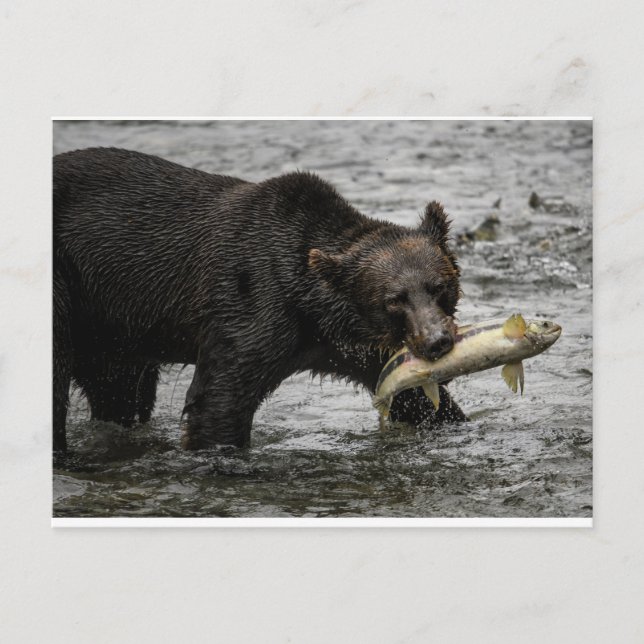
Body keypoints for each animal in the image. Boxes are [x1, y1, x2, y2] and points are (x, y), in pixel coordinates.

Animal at [53, 147, 466, 454]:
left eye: (439, 286)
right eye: (394, 299)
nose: (437, 341)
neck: (310, 310)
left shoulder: (353, 345)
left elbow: (410, 395)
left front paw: (447, 419)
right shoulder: (250, 302)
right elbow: (218, 397)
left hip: (110, 329)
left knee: (120, 391)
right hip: (68, 288)